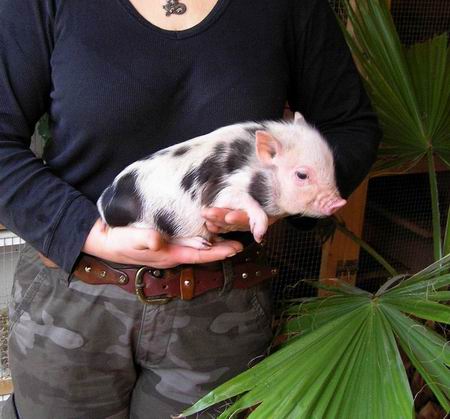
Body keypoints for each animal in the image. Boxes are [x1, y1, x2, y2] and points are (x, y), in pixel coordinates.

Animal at [97, 112, 346, 249]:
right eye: (302, 175)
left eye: (333, 166)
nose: (340, 202)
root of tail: (104, 203)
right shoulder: (218, 191)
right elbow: (238, 199)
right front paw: (259, 234)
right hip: (147, 223)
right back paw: (203, 244)